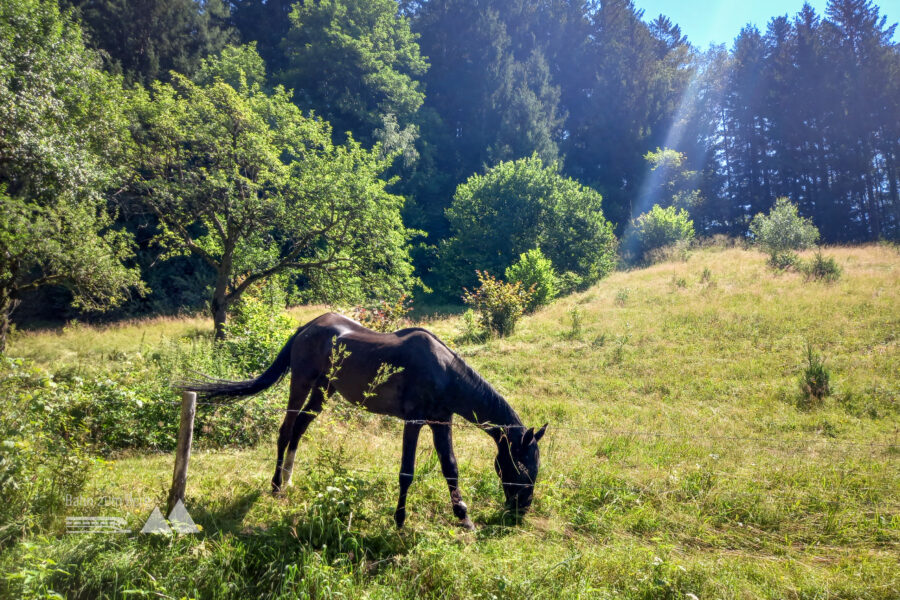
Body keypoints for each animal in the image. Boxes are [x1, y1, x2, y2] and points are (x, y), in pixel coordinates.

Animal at [186, 312, 544, 528]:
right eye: (521, 466)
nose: (522, 508)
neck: (445, 372)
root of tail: (307, 327)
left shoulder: (441, 422)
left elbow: (451, 468)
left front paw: (463, 517)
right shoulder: (414, 421)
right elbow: (406, 471)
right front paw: (399, 520)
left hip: (324, 390)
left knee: (300, 427)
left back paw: (287, 479)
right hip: (301, 382)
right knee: (286, 430)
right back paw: (275, 485)